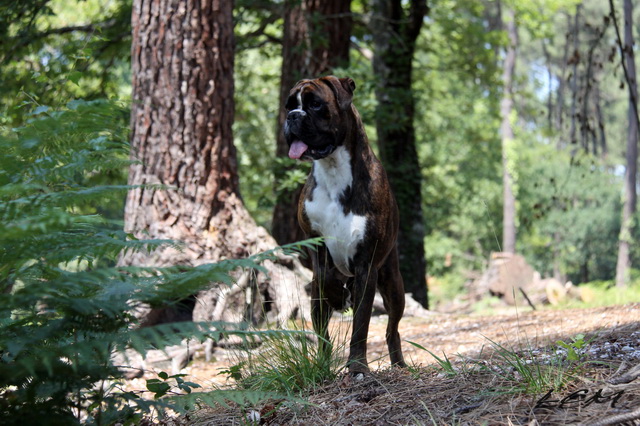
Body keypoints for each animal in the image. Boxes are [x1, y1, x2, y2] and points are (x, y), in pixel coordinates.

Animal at [284, 75, 404, 374]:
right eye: (289, 105)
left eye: (315, 104)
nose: (292, 116)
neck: (333, 168)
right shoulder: (316, 246)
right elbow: (326, 278)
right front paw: (338, 294)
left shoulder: (366, 267)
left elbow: (361, 325)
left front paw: (358, 367)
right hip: (316, 301)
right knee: (322, 333)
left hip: (393, 286)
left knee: (392, 330)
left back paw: (399, 365)